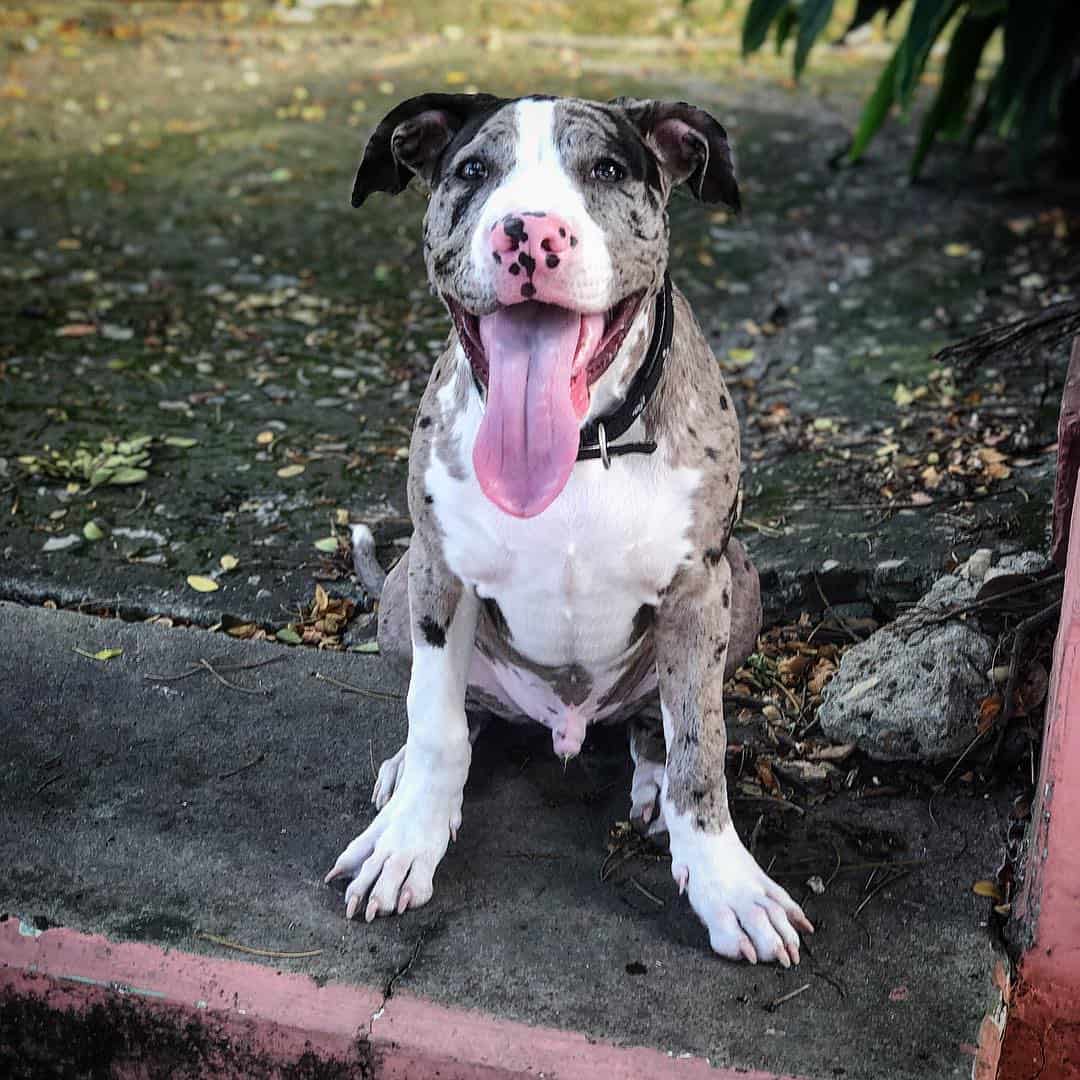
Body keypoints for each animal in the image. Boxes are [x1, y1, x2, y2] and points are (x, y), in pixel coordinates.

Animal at [324, 92, 812, 967]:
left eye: (608, 169)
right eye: (473, 170)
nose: (529, 235)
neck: (584, 444)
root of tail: (566, 722)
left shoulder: (700, 590)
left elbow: (700, 747)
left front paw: (726, 884)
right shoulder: (440, 575)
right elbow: (438, 722)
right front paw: (409, 838)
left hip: (744, 583)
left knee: (655, 724)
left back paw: (649, 777)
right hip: (403, 590)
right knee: (460, 713)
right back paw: (409, 765)